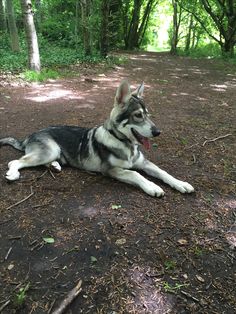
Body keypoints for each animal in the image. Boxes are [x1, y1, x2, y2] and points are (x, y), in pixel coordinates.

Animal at [0, 80, 194, 196]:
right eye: (138, 115)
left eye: (148, 115)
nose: (158, 132)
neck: (125, 144)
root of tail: (30, 135)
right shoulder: (110, 170)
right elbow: (135, 174)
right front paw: (152, 186)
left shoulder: (144, 163)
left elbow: (163, 172)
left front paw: (181, 184)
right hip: (49, 151)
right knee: (15, 161)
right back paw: (13, 174)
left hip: (52, 153)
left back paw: (55, 166)